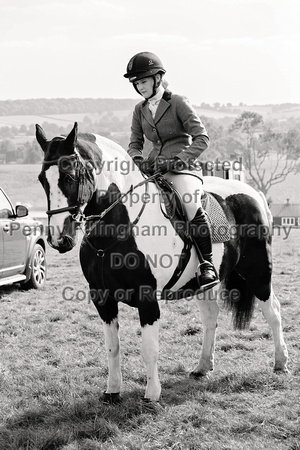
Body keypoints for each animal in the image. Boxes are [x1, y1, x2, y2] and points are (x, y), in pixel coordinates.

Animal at [34, 121, 288, 402]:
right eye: (42, 180)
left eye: (70, 177)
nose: (59, 239)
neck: (118, 227)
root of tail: (254, 193)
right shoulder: (102, 297)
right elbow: (112, 347)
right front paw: (112, 391)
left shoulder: (147, 298)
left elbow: (149, 349)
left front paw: (152, 394)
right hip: (204, 284)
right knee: (211, 317)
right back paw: (202, 367)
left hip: (258, 272)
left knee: (273, 311)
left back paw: (280, 363)